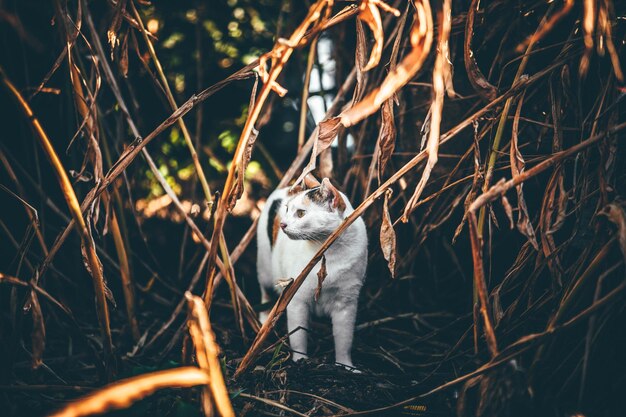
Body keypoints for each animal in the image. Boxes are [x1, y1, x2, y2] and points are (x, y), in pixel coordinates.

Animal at [256, 174, 368, 368]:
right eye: (287, 210)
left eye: (301, 213)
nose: (283, 224)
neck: (329, 254)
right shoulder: (296, 300)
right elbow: (298, 337)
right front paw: (299, 361)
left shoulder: (346, 303)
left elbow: (344, 340)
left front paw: (346, 366)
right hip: (265, 270)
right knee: (265, 291)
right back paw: (264, 321)